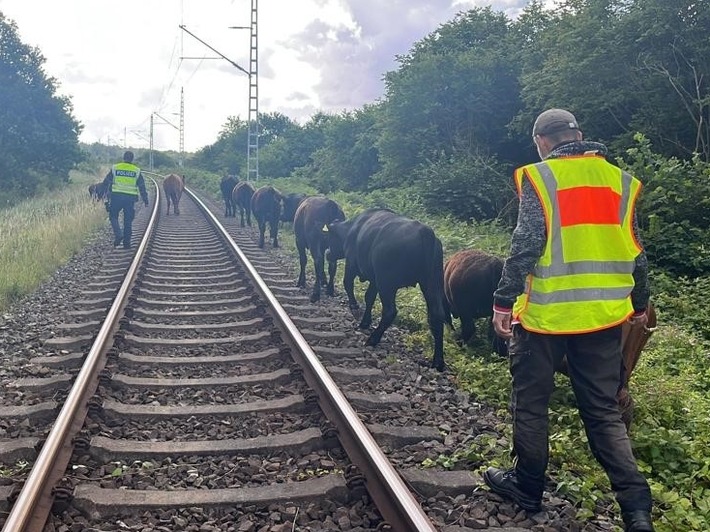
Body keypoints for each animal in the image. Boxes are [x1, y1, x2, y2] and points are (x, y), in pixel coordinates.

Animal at [326, 207, 444, 370]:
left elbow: (348, 284)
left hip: (387, 284)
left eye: (330, 237)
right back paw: (438, 361)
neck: (351, 228)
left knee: (390, 311)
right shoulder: (374, 280)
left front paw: (355, 308)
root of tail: (425, 232)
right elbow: (369, 297)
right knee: (437, 317)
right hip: (432, 284)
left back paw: (373, 339)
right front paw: (365, 321)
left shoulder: (352, 264)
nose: (327, 253)